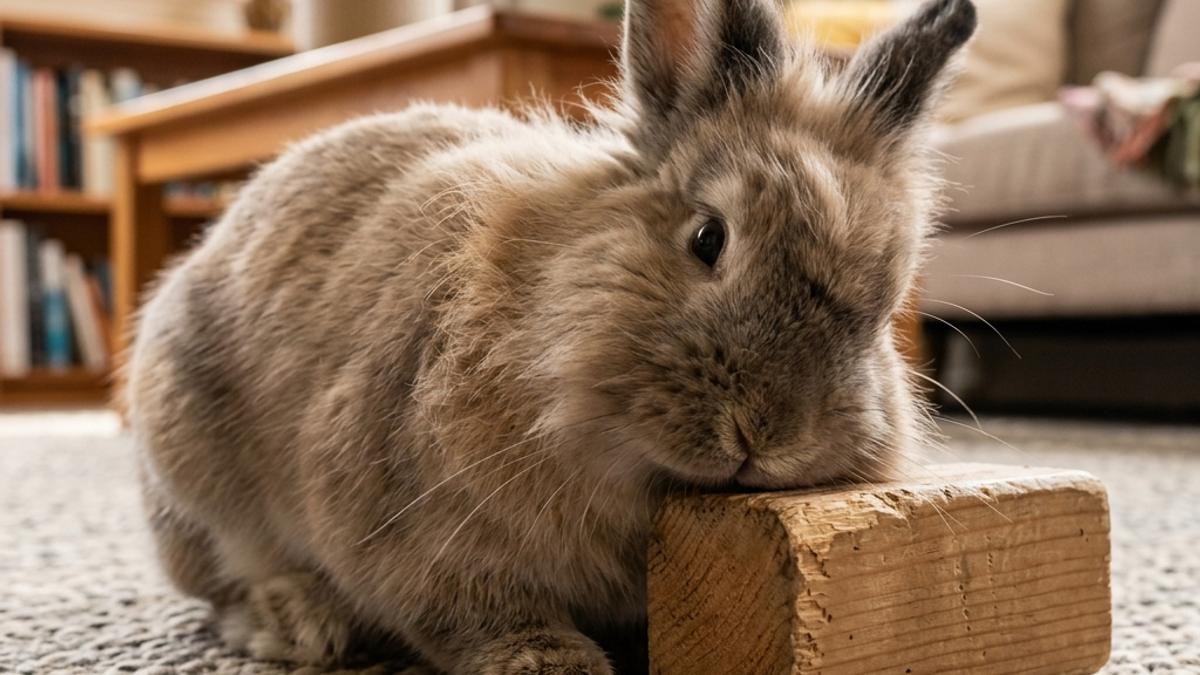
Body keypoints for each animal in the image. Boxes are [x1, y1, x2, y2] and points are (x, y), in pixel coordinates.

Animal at [128, 0, 977, 672]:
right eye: (709, 238)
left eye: (884, 307)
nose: (770, 436)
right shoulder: (415, 534)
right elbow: (475, 613)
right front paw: (554, 664)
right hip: (195, 475)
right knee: (222, 585)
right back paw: (302, 624)